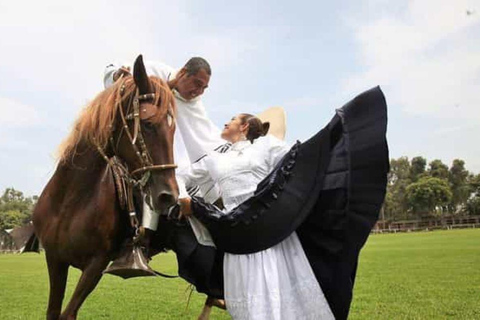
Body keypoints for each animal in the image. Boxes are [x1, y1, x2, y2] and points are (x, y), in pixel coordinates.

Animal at [32, 55, 178, 320]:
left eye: (174, 128)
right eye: (148, 124)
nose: (169, 196)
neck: (70, 200)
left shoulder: (95, 265)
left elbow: (68, 313)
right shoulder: (55, 259)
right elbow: (54, 311)